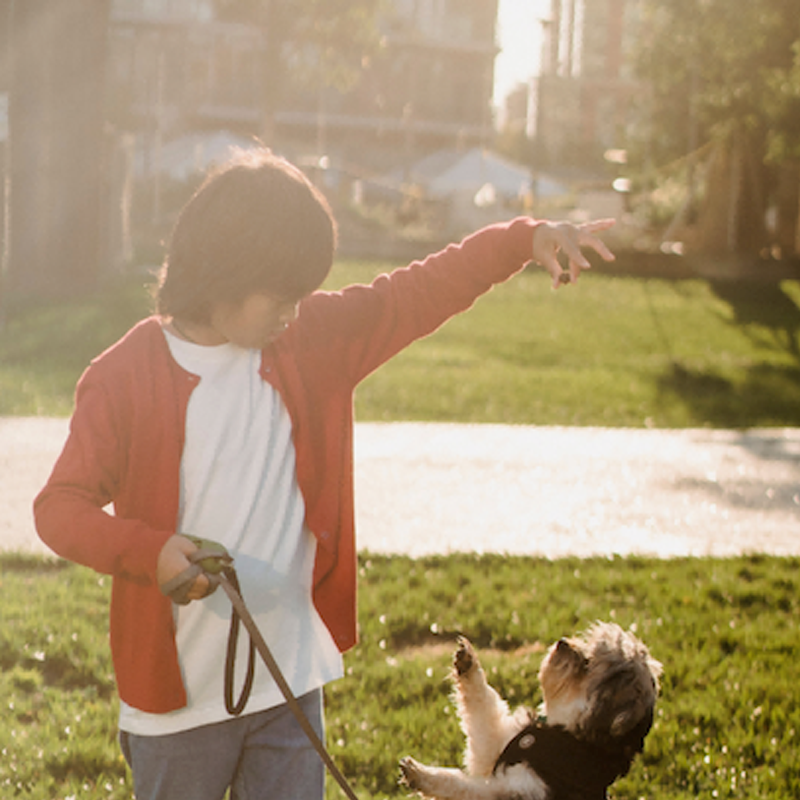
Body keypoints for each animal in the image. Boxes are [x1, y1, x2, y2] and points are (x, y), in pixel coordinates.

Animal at [400, 624, 664, 800]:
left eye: (587, 664)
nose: (563, 641)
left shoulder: (521, 791)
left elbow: (464, 786)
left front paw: (420, 774)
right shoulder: (492, 750)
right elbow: (483, 705)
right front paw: (468, 663)